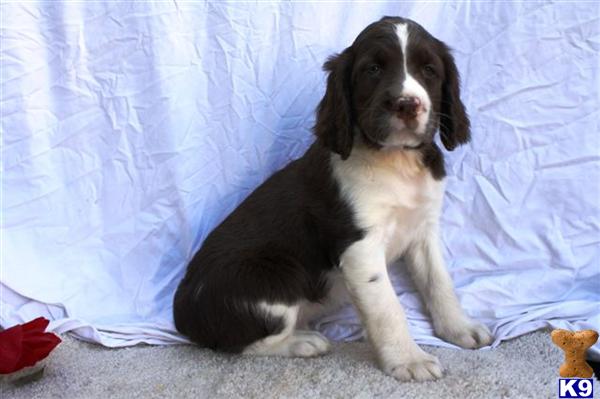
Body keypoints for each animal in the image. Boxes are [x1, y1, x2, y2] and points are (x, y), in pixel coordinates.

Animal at [173, 17, 492, 382]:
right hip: (278, 275)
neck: (395, 161)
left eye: (429, 70)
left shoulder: (423, 230)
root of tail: (183, 311)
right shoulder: (360, 247)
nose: (407, 104)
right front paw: (409, 359)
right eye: (372, 70)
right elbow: (388, 308)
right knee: (241, 343)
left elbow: (439, 282)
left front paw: (459, 328)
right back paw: (303, 342)